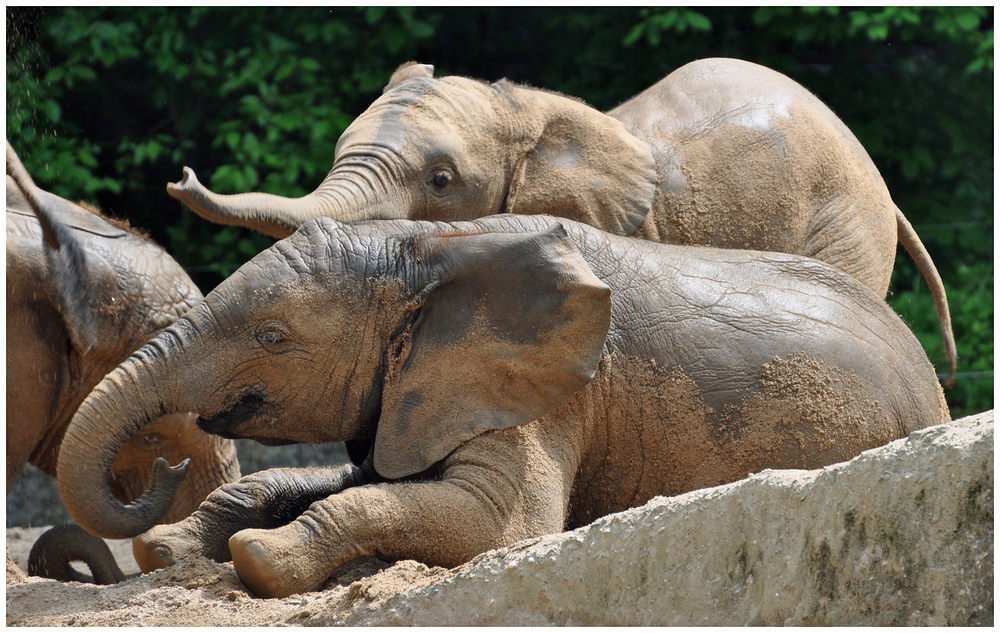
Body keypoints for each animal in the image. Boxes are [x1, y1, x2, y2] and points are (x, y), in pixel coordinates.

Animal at [58, 212, 948, 596]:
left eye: (273, 337)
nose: (163, 464)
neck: (429, 250)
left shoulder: (545, 393)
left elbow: (495, 524)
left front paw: (258, 558)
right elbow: (357, 480)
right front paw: (172, 548)